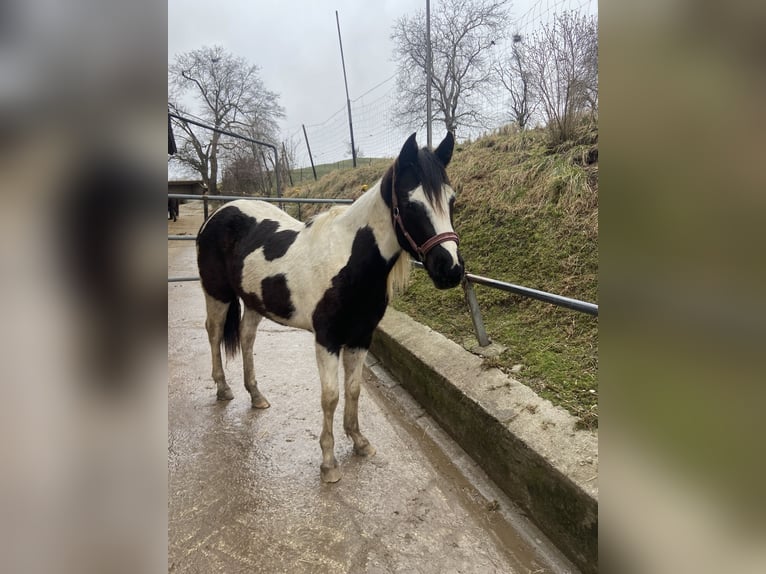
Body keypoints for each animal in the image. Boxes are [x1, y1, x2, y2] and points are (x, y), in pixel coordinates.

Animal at [196, 133, 462, 484]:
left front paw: (360, 442)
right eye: (410, 204)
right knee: (214, 334)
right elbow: (331, 396)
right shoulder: (327, 339)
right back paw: (224, 389)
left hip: (253, 302)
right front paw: (329, 462)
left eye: (452, 200)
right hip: (218, 295)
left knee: (246, 338)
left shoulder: (361, 338)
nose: (451, 269)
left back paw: (256, 396)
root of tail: (218, 213)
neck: (349, 262)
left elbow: (353, 389)